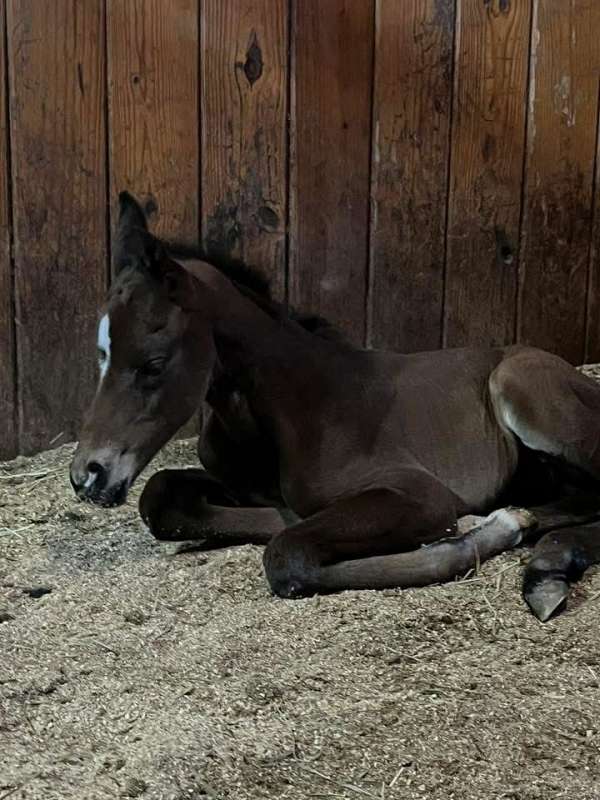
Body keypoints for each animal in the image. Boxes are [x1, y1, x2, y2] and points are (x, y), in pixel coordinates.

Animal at [70, 191, 600, 622]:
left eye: (153, 363)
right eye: (100, 353)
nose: (87, 475)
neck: (292, 410)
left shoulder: (420, 494)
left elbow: (288, 555)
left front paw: (484, 529)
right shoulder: (242, 487)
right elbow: (163, 498)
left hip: (523, 389)